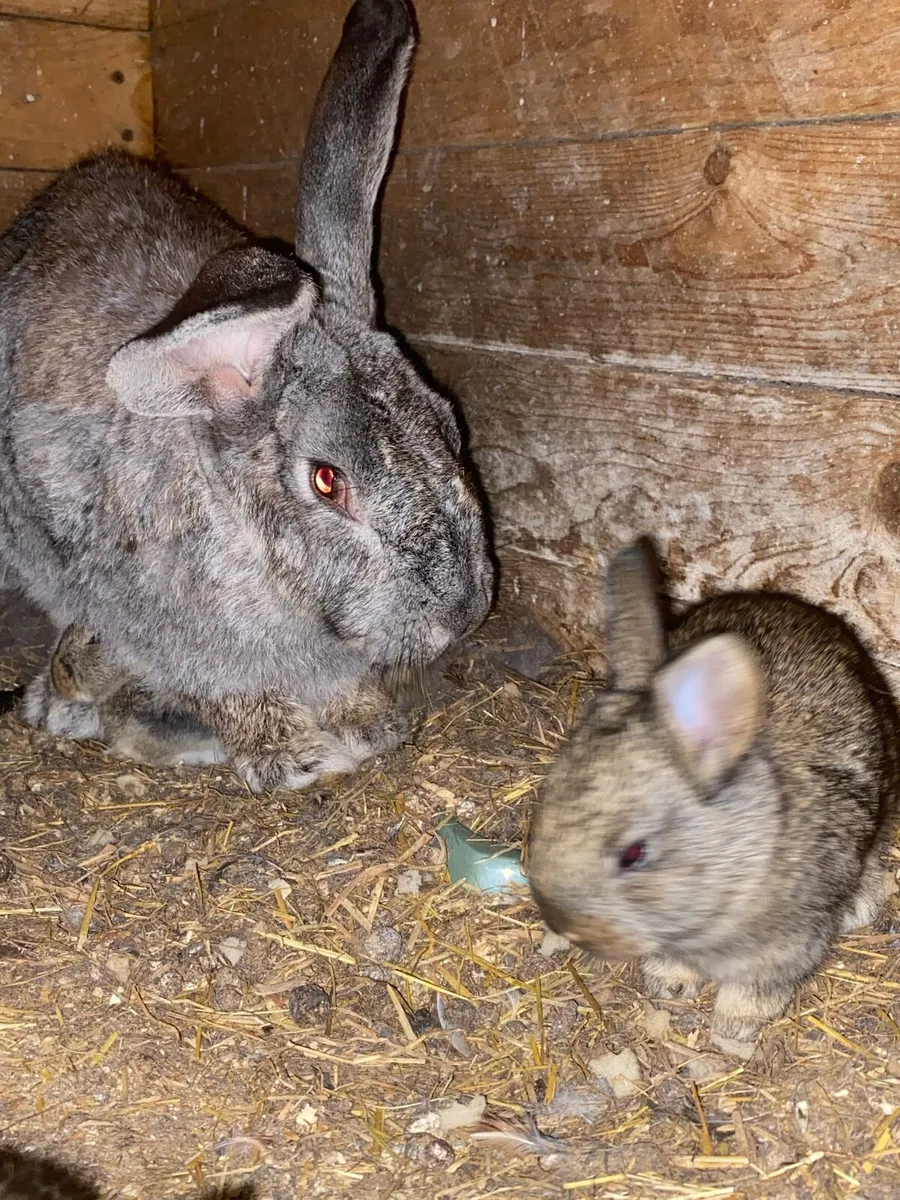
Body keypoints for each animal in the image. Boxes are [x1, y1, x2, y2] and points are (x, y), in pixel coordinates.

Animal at [527, 538, 900, 1058]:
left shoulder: (786, 946)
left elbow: (754, 991)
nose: (566, 927)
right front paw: (670, 986)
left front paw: (732, 1029)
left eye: (634, 854)